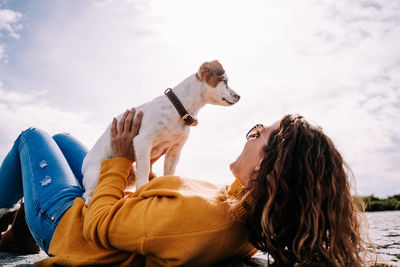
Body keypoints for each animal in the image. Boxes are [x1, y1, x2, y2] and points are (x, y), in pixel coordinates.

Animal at [79, 60, 239, 206]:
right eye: (224, 81)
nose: (239, 96)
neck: (178, 109)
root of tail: (85, 164)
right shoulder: (142, 143)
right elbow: (144, 176)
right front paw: (140, 193)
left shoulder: (174, 151)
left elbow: (168, 175)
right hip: (96, 174)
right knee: (86, 193)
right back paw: (90, 199)